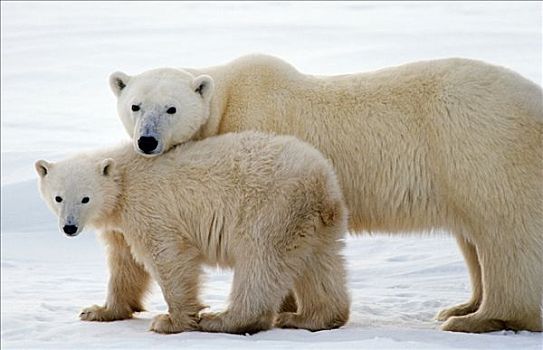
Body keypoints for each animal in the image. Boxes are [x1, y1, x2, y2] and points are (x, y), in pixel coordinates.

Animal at [34, 131, 350, 334]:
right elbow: (125, 265)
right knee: (320, 265)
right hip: (314, 223)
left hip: (270, 208)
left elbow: (167, 256)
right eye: (58, 198)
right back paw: (310, 317)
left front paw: (171, 321)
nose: (70, 227)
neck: (124, 180)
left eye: (85, 198)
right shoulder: (121, 227)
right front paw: (98, 311)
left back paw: (223, 319)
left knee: (260, 262)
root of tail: (320, 182)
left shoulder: (149, 207)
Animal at [110, 55, 543, 334]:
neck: (227, 101)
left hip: (479, 144)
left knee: (503, 231)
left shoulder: (259, 136)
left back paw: (480, 319)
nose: (147, 141)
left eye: (171, 108)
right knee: (472, 236)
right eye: (135, 105)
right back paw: (463, 305)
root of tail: (534, 101)